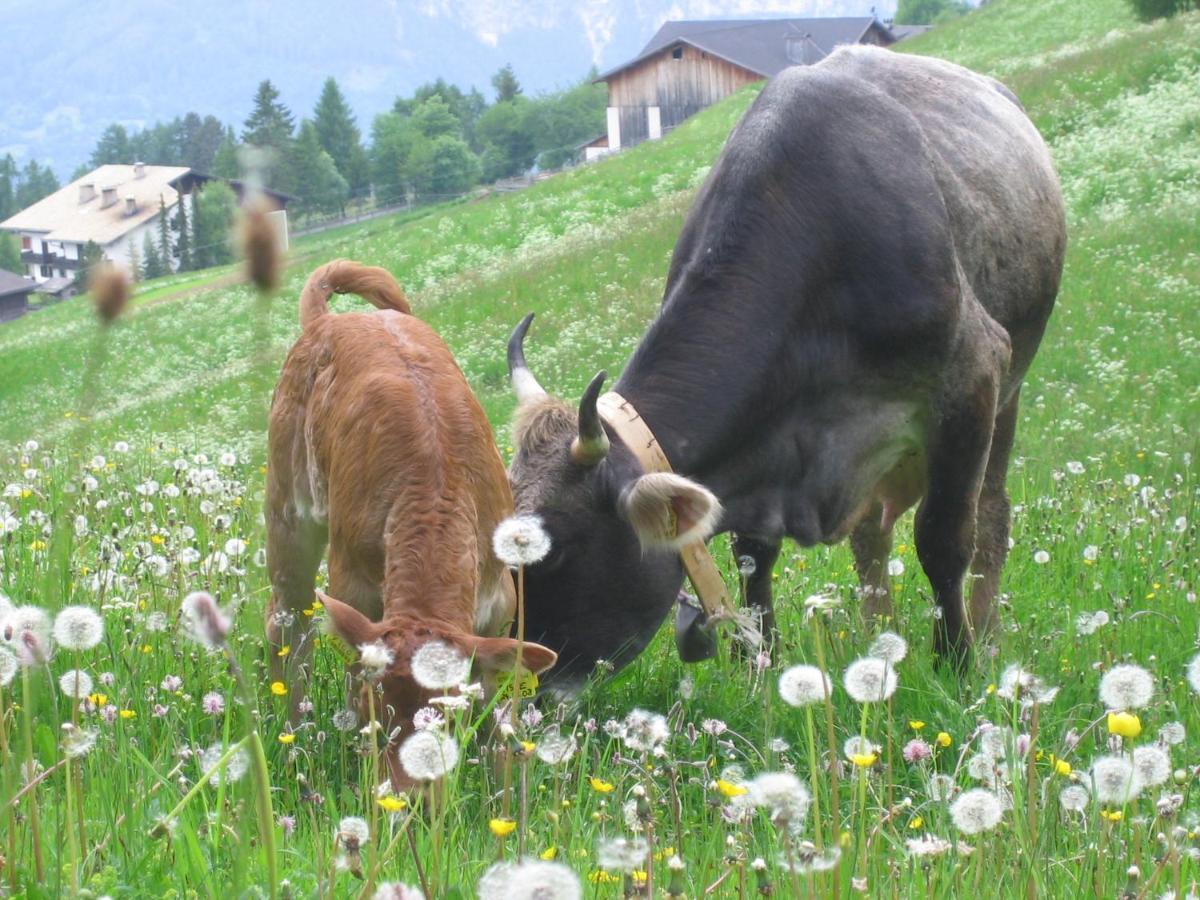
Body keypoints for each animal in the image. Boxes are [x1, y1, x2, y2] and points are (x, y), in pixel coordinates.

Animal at [265, 260, 554, 787]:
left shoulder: (499, 607)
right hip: (288, 513)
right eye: (370, 715)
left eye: (451, 717)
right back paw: (292, 735)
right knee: (288, 623)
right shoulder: (353, 588)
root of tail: (331, 321)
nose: (407, 798)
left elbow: (499, 720)